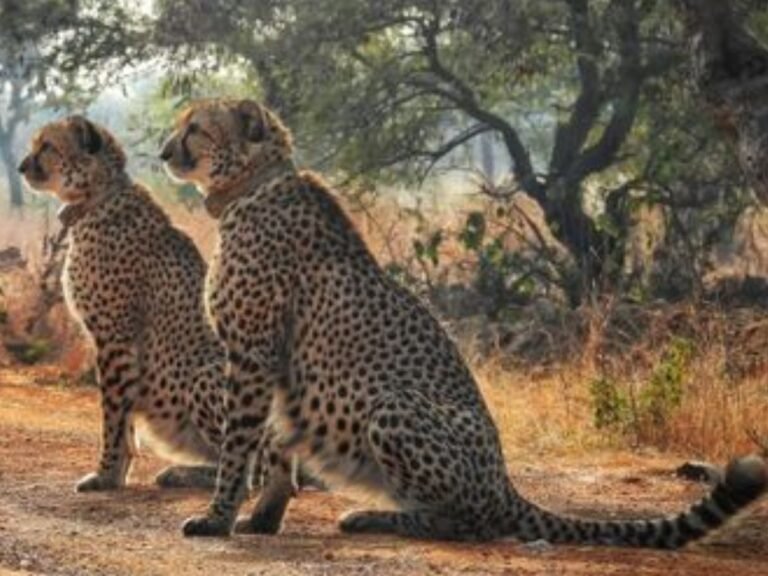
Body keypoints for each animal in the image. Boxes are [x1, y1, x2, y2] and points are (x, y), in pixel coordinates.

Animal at [19, 115, 228, 492]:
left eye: (48, 147)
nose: (21, 167)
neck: (96, 197)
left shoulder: (114, 336)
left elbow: (114, 413)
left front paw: (106, 474)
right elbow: (125, 417)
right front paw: (118, 472)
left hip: (205, 374)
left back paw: (183, 473)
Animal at [161, 98, 767, 548]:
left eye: (196, 129)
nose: (165, 151)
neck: (249, 185)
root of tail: (504, 484)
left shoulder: (251, 353)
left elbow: (241, 445)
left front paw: (216, 518)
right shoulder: (267, 359)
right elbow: (274, 446)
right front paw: (262, 518)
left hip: (393, 407)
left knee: (472, 523)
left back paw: (376, 517)